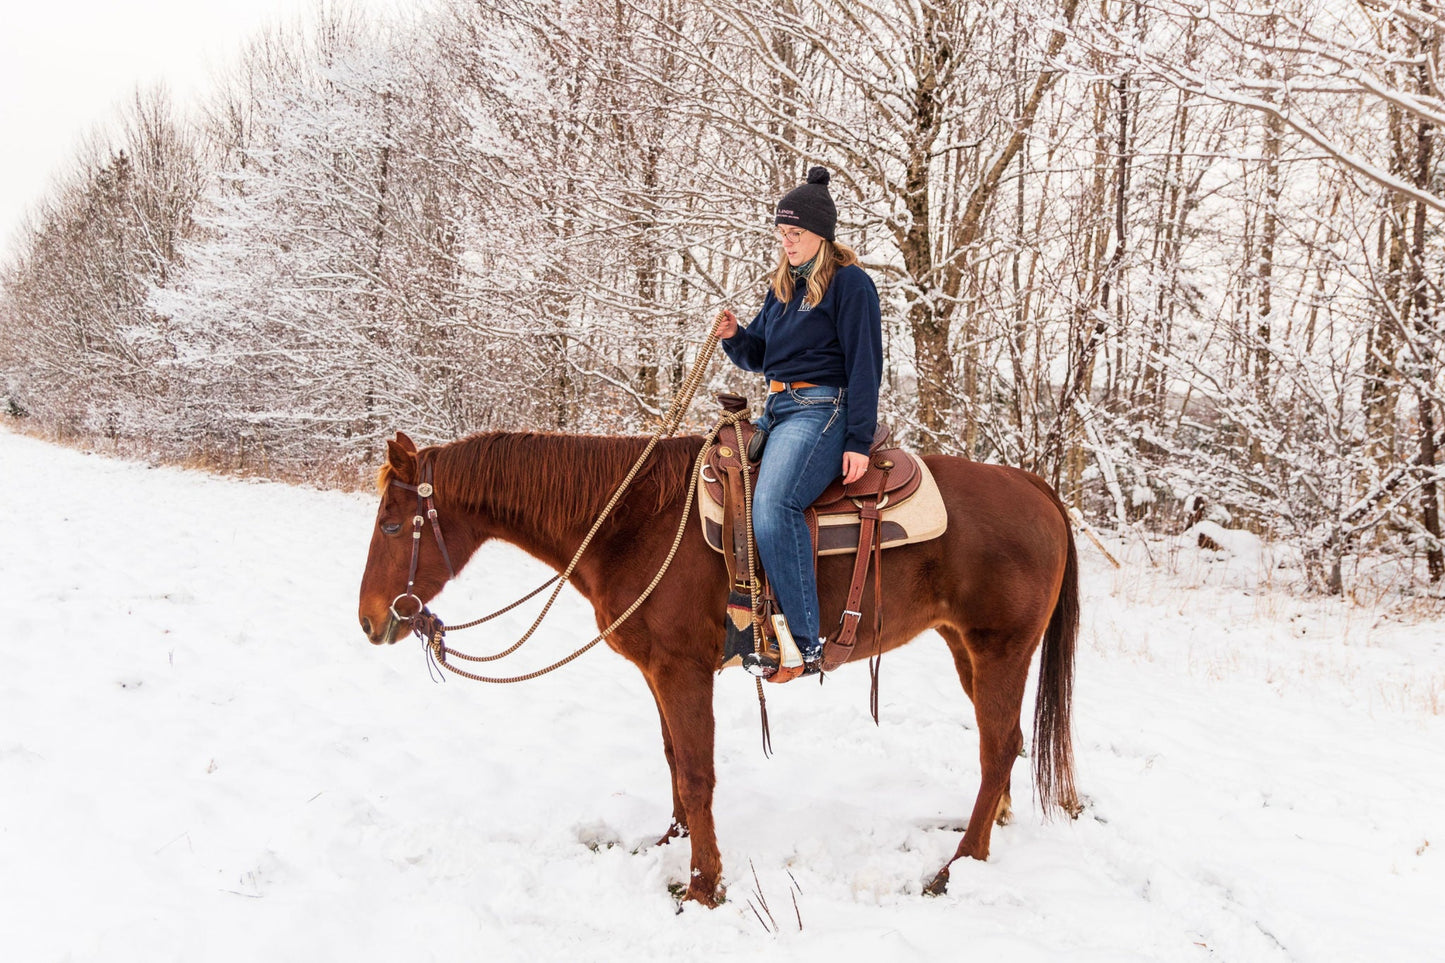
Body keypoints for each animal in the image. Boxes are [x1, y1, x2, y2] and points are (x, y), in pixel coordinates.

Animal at [355, 428, 1080, 902]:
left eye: (391, 526)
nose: (368, 620)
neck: (631, 521)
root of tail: (1035, 487)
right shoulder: (658, 670)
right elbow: (675, 757)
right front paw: (671, 842)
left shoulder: (683, 670)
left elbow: (700, 772)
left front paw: (704, 883)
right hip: (965, 647)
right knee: (1002, 746)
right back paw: (986, 833)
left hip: (999, 647)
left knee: (998, 747)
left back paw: (956, 868)